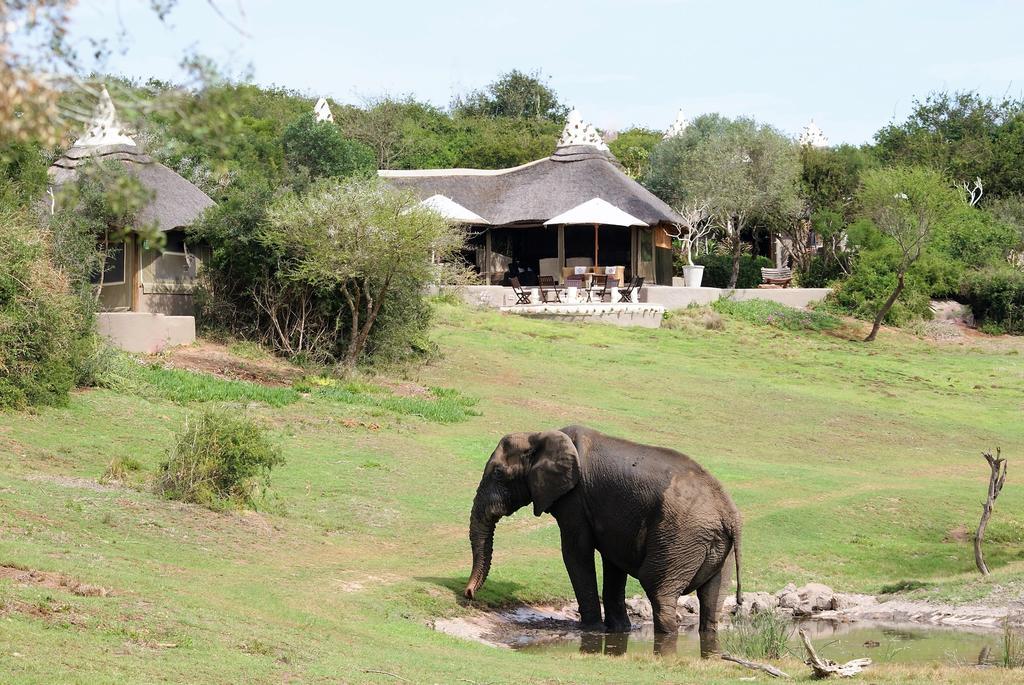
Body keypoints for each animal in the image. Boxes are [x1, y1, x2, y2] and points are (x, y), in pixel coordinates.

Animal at [466, 423, 745, 655]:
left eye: (498, 473)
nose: (469, 595)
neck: (540, 434)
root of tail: (729, 514)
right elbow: (613, 562)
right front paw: (619, 629)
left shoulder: (574, 498)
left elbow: (576, 552)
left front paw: (591, 629)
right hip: (715, 546)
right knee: (712, 598)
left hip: (680, 537)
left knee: (658, 590)